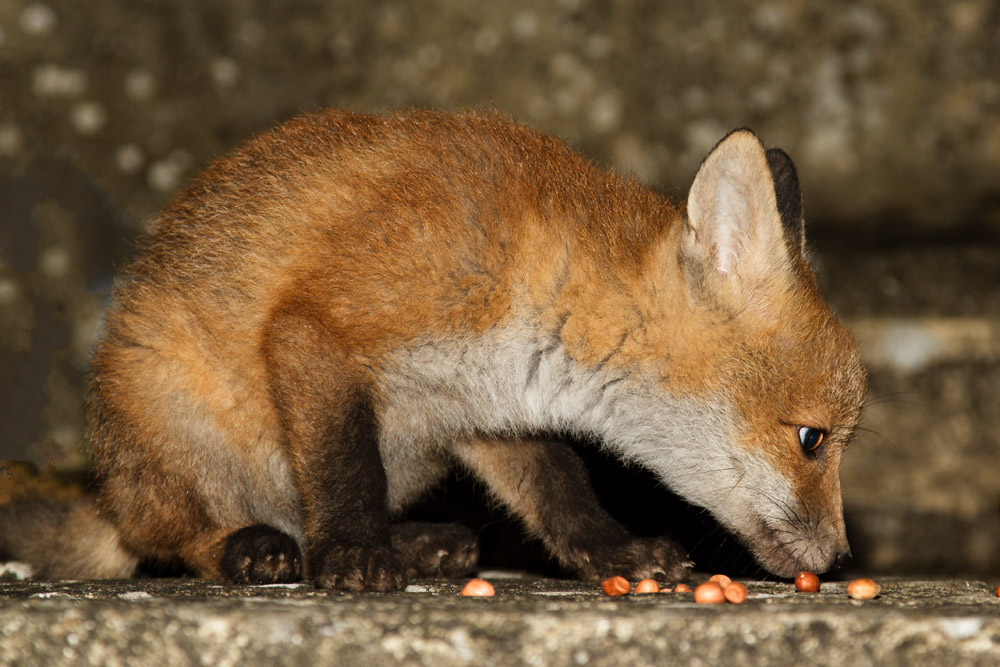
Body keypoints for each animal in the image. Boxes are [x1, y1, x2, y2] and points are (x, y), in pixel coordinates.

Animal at [1, 109, 866, 591]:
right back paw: (257, 547)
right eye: (812, 438)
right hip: (170, 416)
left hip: (417, 453)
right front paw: (355, 552)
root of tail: (111, 484)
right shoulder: (322, 327)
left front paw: (610, 548)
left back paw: (418, 543)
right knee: (171, 538)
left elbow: (559, 486)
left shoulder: (484, 410)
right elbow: (343, 468)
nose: (839, 557)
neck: (540, 279)